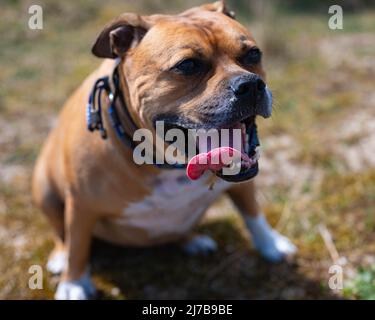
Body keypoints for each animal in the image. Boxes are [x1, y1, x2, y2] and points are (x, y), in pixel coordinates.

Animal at [32, 0, 296, 300]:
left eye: (253, 54)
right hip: (44, 189)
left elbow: (253, 212)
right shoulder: (80, 205)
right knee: (61, 233)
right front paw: (74, 283)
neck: (169, 162)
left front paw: (271, 243)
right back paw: (59, 258)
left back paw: (192, 240)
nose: (250, 84)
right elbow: (77, 243)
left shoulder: (243, 184)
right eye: (188, 65)